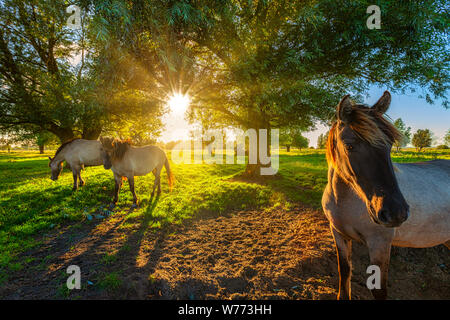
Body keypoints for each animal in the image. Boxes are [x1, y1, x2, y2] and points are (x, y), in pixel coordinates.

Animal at [322, 92, 450, 300]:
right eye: (349, 146)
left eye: (389, 145)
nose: (396, 213)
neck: (344, 201)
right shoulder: (339, 234)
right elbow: (344, 272)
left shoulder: (379, 244)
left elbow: (380, 290)